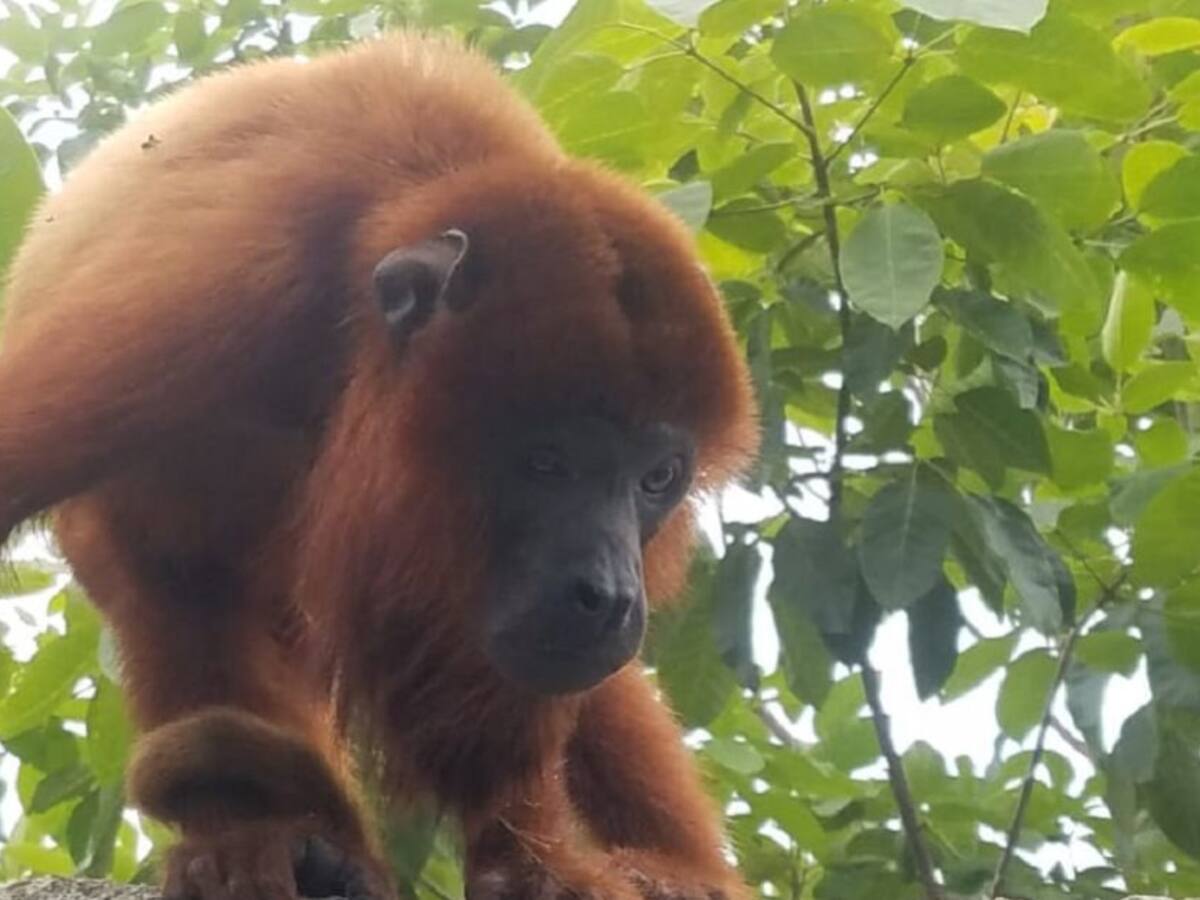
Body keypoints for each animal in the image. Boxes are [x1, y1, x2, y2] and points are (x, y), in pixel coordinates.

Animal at [0, 33, 758, 900]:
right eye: (546, 461)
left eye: (655, 478)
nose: (606, 593)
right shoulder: (203, 299)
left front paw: (527, 868)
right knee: (181, 593)